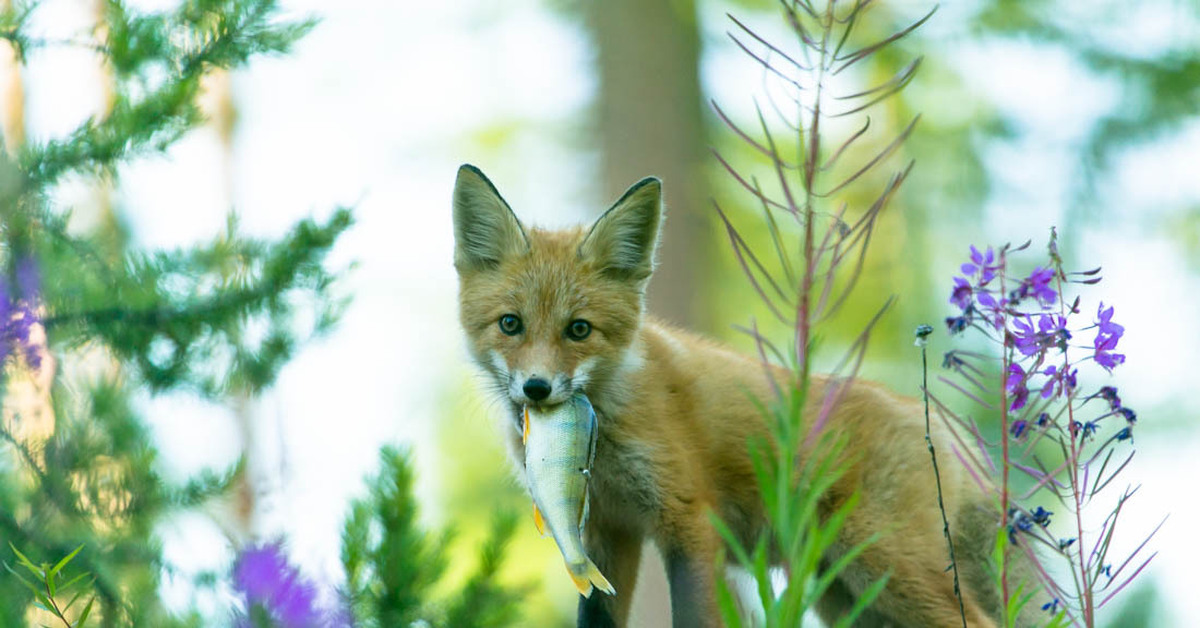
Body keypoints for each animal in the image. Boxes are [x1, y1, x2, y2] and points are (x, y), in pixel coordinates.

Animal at [451, 163, 1022, 628]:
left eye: (578, 330)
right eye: (510, 324)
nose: (537, 388)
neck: (610, 422)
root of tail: (940, 429)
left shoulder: (688, 520)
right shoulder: (609, 531)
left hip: (885, 565)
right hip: (848, 594)